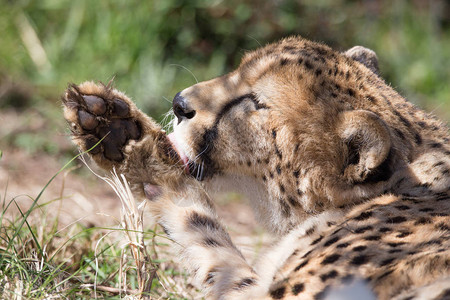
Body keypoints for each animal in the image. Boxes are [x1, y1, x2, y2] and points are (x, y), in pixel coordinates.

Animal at [62, 36, 450, 298]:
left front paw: (143, 155)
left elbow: (205, 232)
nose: (179, 103)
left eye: (255, 102)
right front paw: (115, 128)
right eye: (237, 70)